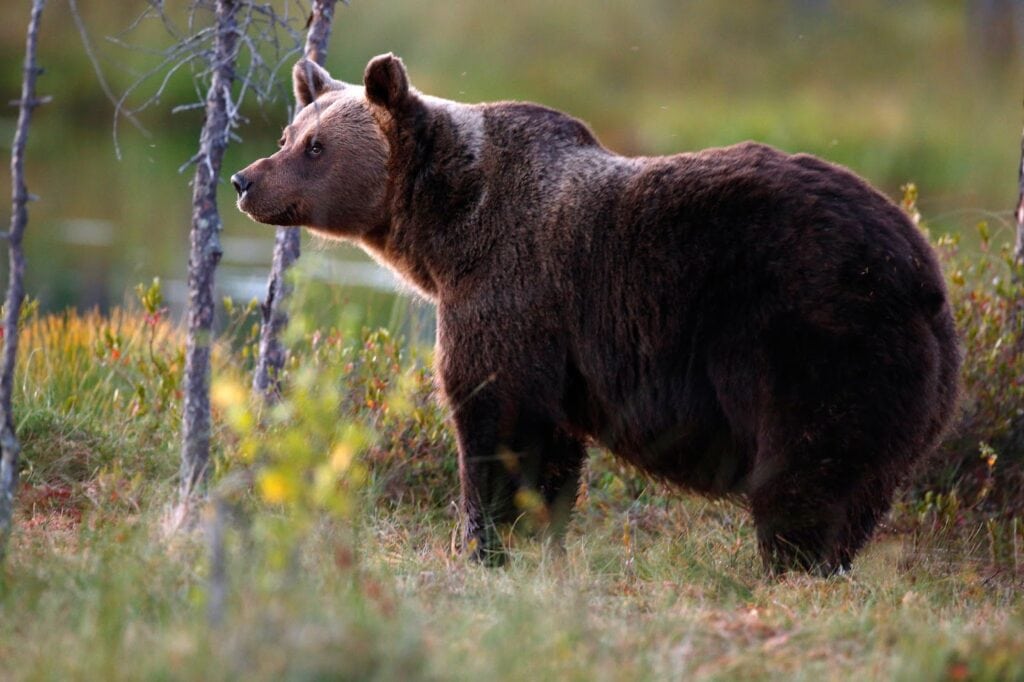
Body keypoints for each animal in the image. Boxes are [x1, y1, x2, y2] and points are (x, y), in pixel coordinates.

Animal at [232, 54, 961, 575]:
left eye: (316, 147)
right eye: (289, 133)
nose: (244, 179)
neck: (450, 232)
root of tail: (922, 272)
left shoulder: (512, 294)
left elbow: (494, 417)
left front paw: (477, 544)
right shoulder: (552, 350)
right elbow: (550, 448)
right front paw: (534, 541)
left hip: (815, 338)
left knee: (806, 474)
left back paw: (790, 567)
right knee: (861, 486)